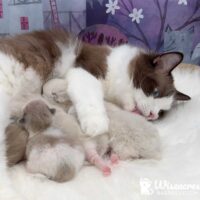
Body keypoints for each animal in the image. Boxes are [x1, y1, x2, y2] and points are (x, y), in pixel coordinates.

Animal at [0, 29, 191, 139]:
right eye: (156, 92)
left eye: (162, 112)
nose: (152, 115)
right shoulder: (85, 71)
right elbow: (90, 96)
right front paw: (96, 124)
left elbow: (52, 86)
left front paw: (60, 96)